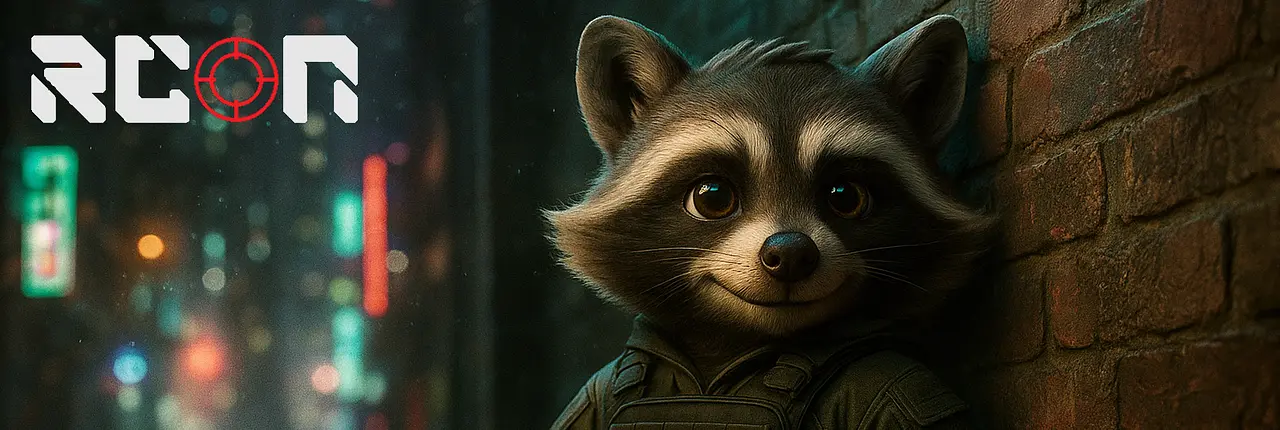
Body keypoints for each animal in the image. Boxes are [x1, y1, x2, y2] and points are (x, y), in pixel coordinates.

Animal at [547, 14, 991, 430]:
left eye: (845, 197)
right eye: (713, 197)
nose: (791, 253)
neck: (726, 350)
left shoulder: (898, 385)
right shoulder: (595, 389)